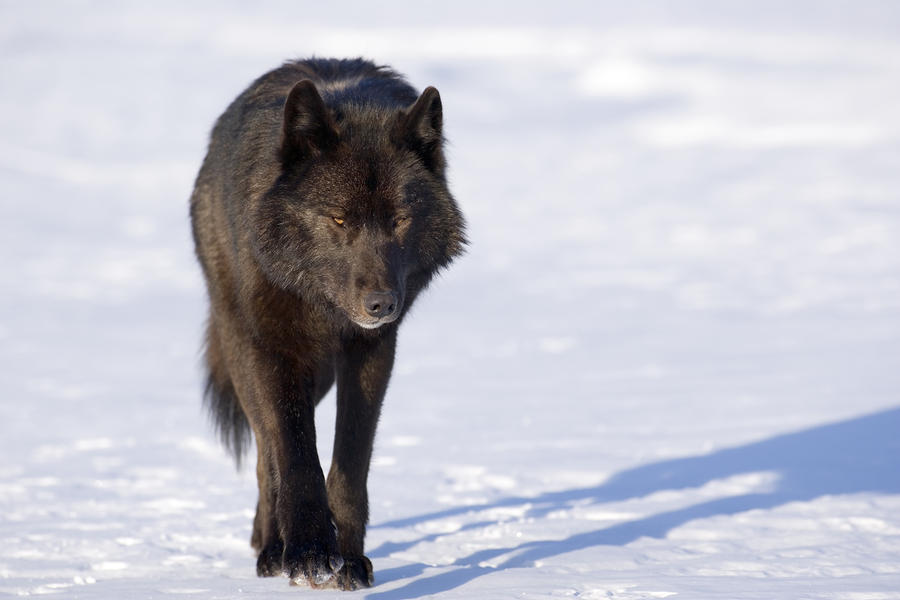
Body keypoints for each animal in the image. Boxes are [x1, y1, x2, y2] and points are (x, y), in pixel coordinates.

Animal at [189, 58, 466, 590]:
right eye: (338, 220)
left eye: (399, 219)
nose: (381, 304)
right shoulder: (274, 351)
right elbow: (295, 455)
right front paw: (309, 552)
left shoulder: (372, 354)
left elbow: (350, 465)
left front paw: (350, 560)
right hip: (246, 353)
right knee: (265, 452)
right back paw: (270, 547)